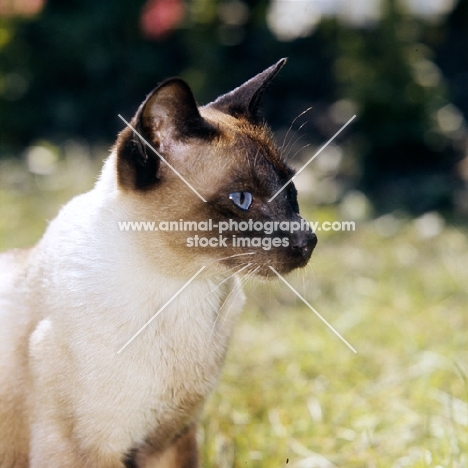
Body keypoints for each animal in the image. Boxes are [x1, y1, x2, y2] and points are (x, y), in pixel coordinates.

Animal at [0, 59, 316, 468]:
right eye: (242, 199)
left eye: (291, 192)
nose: (308, 240)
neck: (185, 289)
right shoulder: (85, 452)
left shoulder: (172, 439)